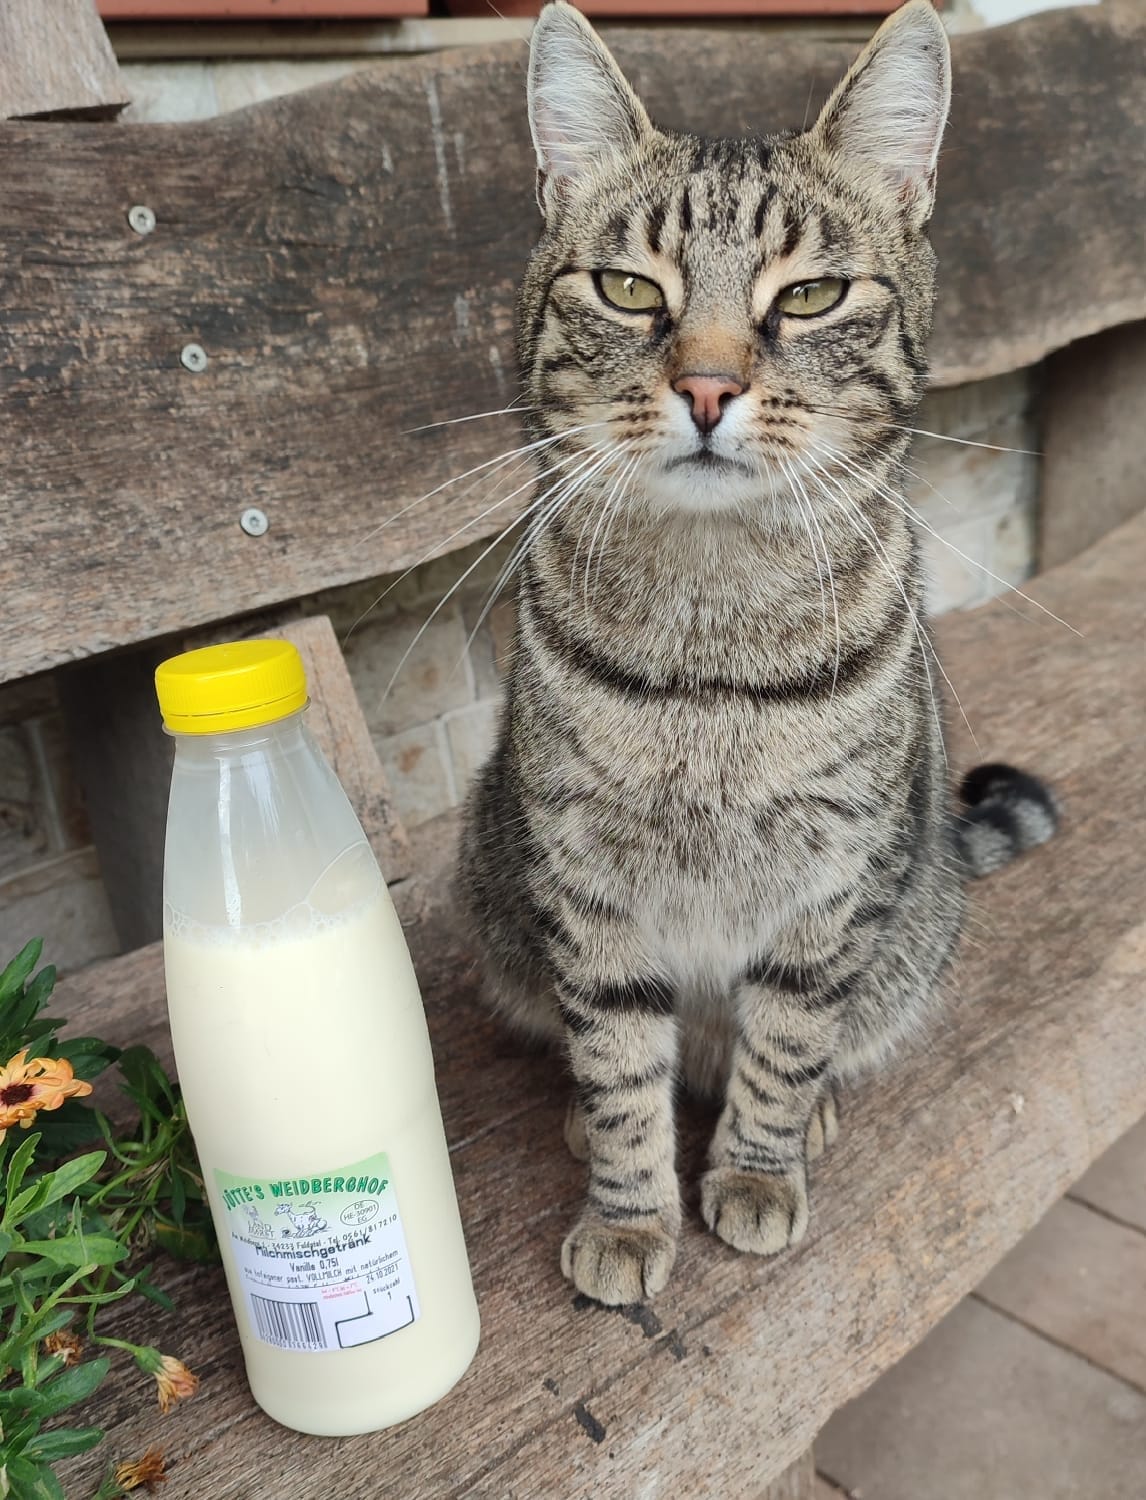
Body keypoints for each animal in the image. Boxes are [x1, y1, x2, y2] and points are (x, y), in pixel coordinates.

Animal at [453, 0, 1056, 1308]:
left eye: (813, 294)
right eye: (629, 289)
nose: (707, 386)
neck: (711, 637)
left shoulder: (832, 885)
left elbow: (783, 1043)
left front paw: (757, 1170)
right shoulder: (588, 886)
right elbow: (619, 1062)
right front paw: (629, 1216)